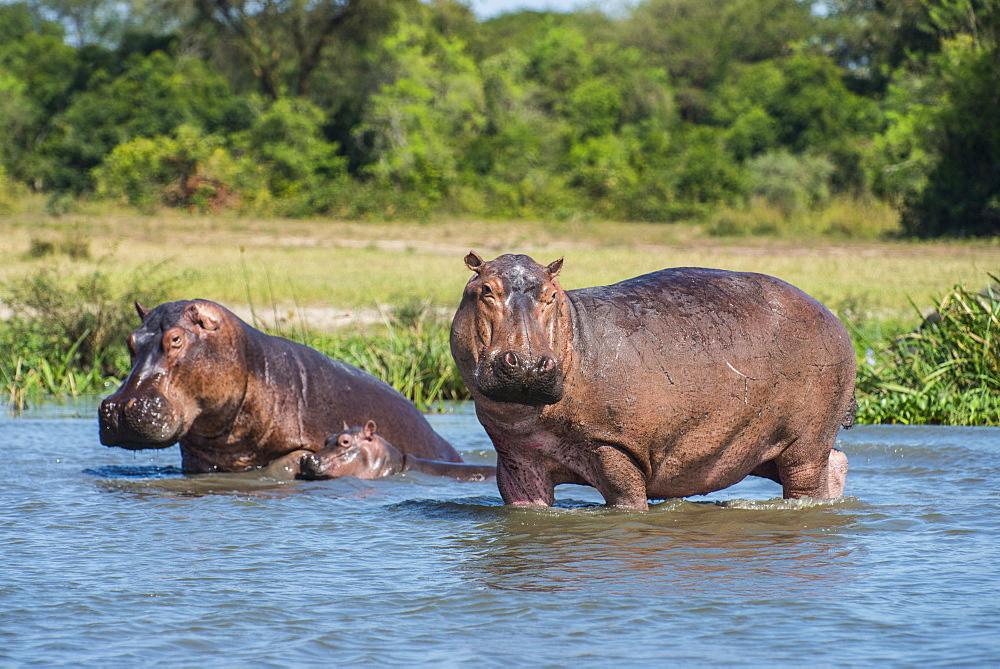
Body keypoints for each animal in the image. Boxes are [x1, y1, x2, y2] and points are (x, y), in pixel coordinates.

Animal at [450, 253, 856, 508]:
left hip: (805, 442)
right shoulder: (517, 460)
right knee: (836, 463)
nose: (529, 363)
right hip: (764, 448)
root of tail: (831, 315)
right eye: (485, 289)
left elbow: (628, 499)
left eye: (552, 294)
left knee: (806, 481)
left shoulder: (614, 449)